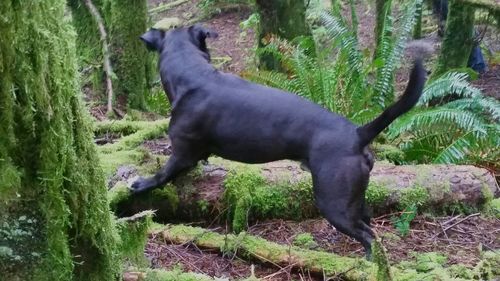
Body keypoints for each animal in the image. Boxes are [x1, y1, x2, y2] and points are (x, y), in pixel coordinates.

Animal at [134, 24, 426, 256]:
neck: (193, 73)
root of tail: (357, 133)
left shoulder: (183, 153)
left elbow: (162, 174)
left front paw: (141, 184)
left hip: (334, 203)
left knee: (368, 237)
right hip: (355, 198)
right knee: (370, 226)